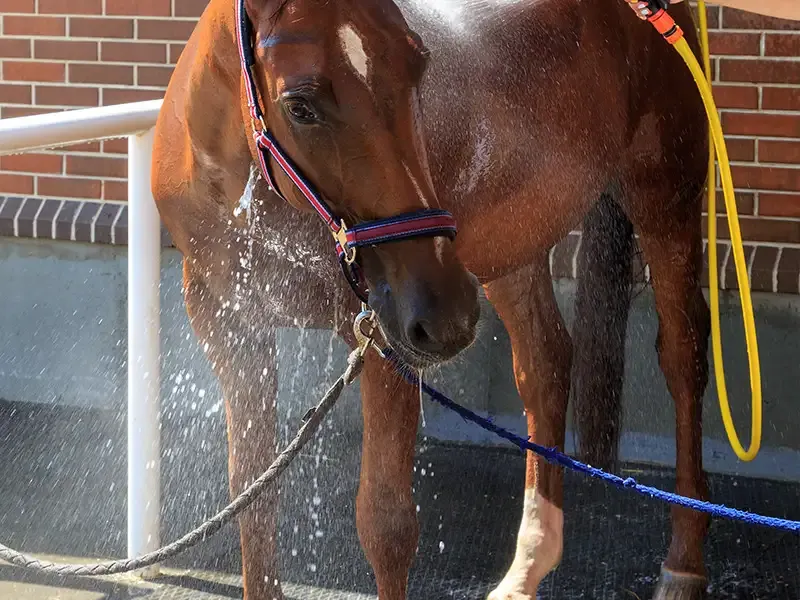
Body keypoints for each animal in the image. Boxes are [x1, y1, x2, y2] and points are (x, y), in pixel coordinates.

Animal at [151, 0, 710, 598]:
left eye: (418, 67)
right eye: (299, 105)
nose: (443, 315)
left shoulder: (382, 340)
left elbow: (386, 523)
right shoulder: (229, 323)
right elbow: (253, 496)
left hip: (663, 203)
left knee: (682, 360)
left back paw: (682, 567)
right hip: (514, 245)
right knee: (545, 363)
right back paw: (527, 566)